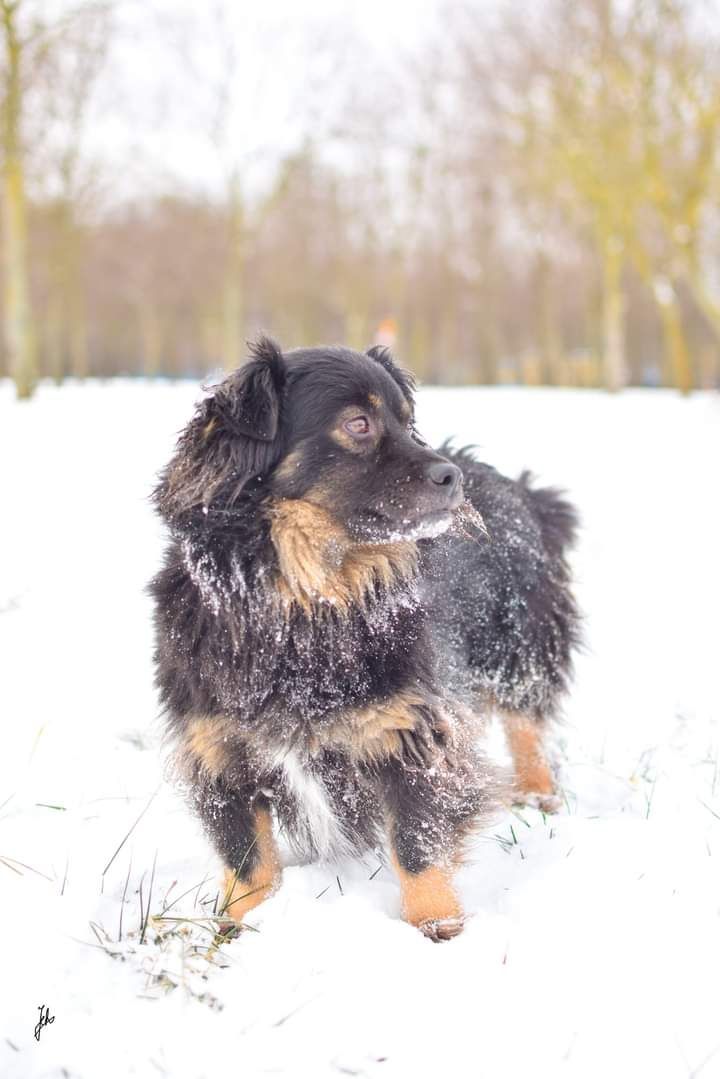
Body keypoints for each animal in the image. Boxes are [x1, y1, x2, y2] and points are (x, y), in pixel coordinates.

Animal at [151, 338, 578, 945]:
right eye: (358, 424)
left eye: (408, 421)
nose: (453, 477)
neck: (305, 604)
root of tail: (523, 489)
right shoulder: (217, 747)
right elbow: (246, 858)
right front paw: (234, 931)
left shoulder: (414, 731)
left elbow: (418, 845)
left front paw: (437, 929)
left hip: (516, 644)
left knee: (527, 722)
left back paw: (537, 794)